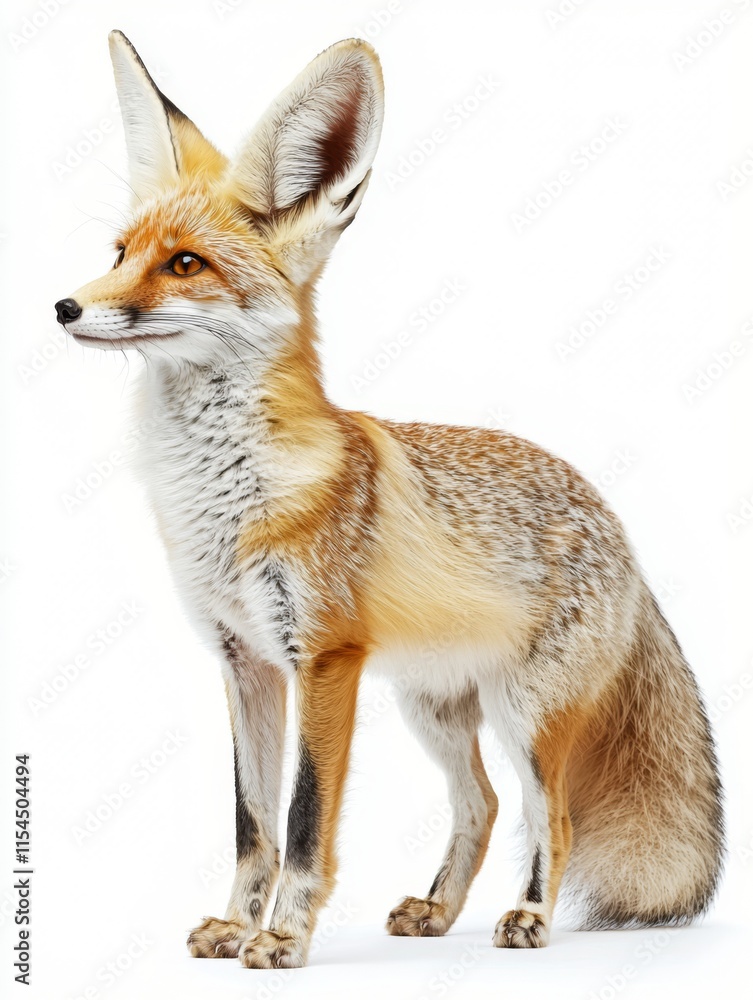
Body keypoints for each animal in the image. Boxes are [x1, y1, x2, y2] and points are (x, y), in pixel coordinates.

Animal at [55, 30, 724, 969]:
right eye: (119, 254)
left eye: (184, 264)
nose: (63, 306)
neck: (221, 503)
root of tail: (611, 516)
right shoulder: (244, 661)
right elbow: (251, 824)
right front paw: (235, 924)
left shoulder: (325, 659)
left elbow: (304, 820)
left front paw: (283, 937)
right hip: (431, 707)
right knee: (480, 804)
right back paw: (437, 913)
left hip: (525, 714)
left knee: (546, 814)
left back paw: (529, 918)